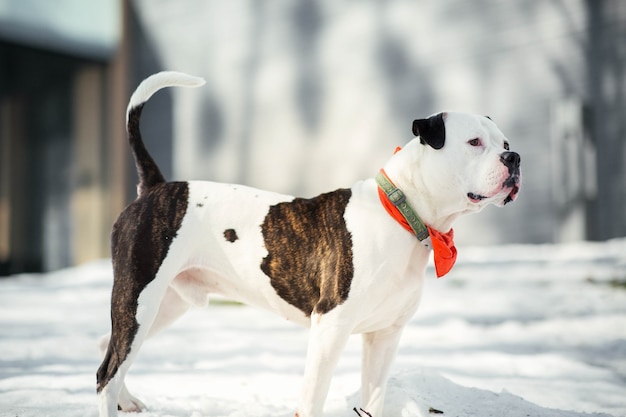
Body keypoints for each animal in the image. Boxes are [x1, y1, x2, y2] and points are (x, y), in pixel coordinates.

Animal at [96, 71, 516, 416]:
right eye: (474, 142)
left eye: (505, 142)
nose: (514, 157)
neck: (400, 212)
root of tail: (156, 187)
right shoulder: (330, 327)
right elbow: (313, 399)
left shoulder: (385, 336)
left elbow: (375, 401)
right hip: (139, 299)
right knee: (106, 374)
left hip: (162, 305)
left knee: (108, 349)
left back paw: (127, 400)